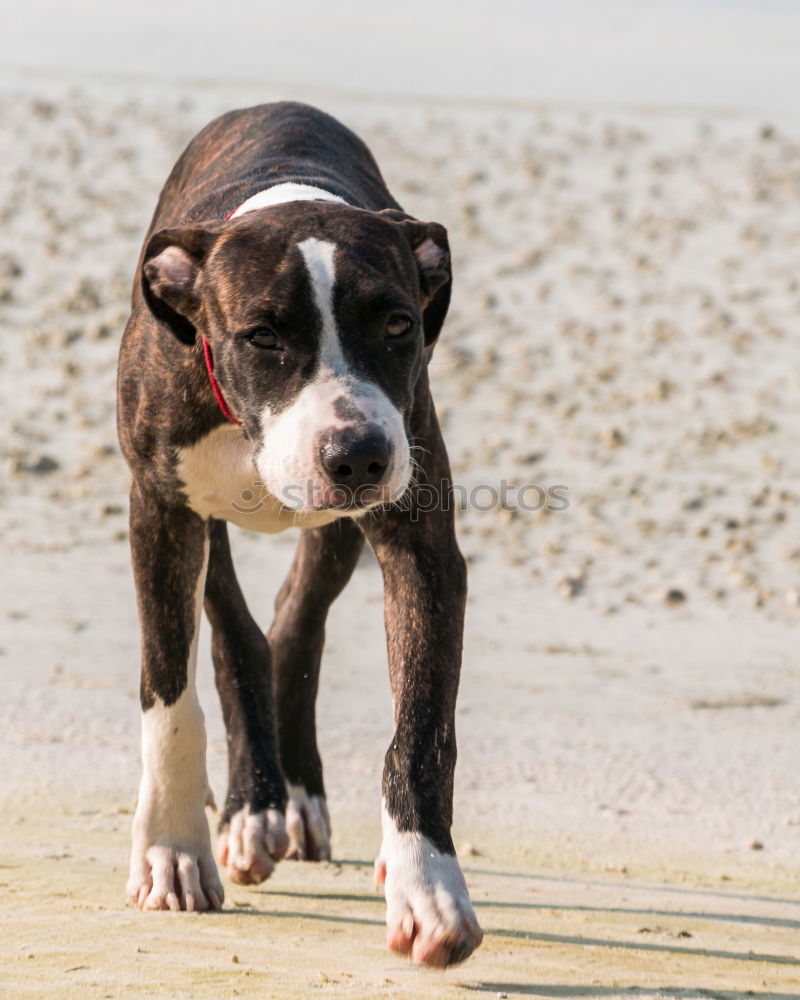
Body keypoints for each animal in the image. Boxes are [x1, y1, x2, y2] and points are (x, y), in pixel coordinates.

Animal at [116, 97, 484, 964]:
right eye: (262, 336)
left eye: (398, 324)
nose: (358, 453)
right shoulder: (160, 512)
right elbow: (168, 693)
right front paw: (171, 849)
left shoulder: (422, 547)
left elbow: (421, 730)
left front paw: (429, 887)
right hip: (201, 524)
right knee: (234, 633)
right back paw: (252, 807)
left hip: (342, 521)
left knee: (294, 621)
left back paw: (294, 797)